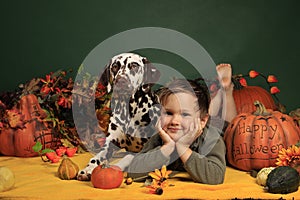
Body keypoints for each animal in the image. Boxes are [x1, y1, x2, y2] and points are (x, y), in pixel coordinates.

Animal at [77, 52, 162, 180]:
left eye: (134, 65)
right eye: (115, 66)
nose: (121, 80)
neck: (128, 113)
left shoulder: (144, 148)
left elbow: (129, 158)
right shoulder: (109, 143)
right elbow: (96, 157)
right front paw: (87, 169)